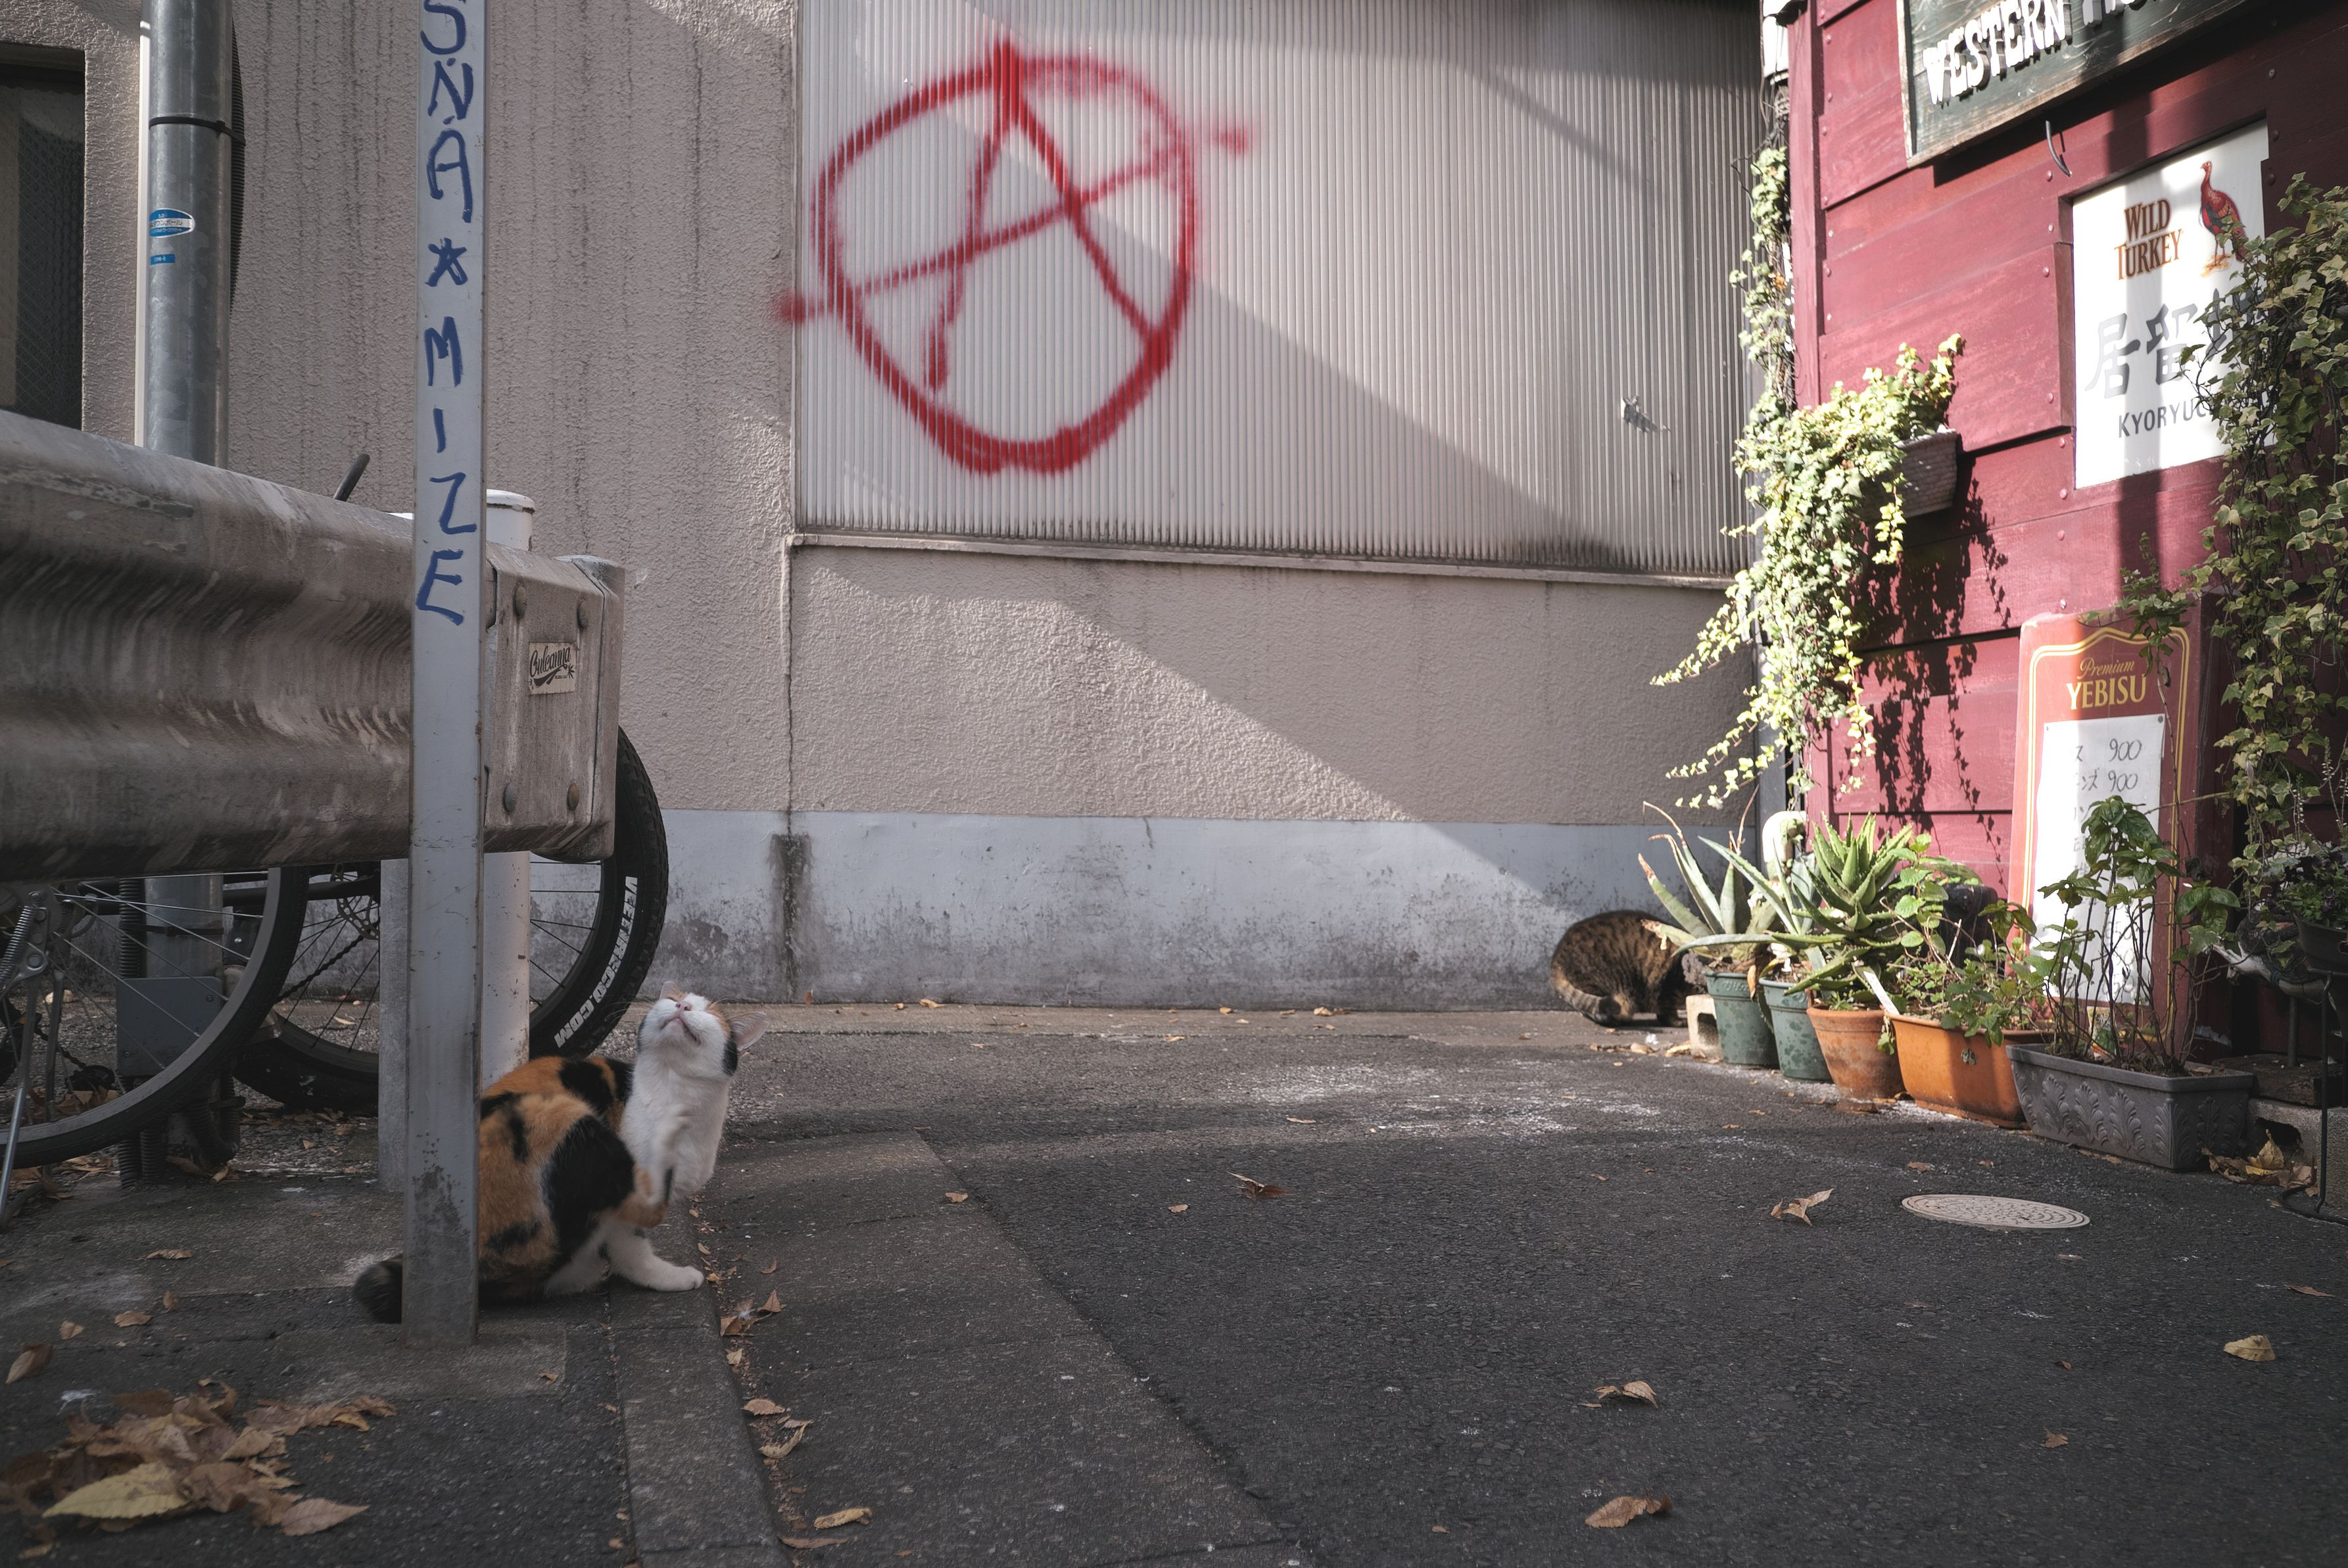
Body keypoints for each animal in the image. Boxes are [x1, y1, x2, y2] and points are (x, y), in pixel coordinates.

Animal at [353, 989, 766, 1322]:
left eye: (709, 1012)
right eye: (673, 998)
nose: (681, 1006)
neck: (676, 1090)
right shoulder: (620, 1195)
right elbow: (632, 1245)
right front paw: (667, 1277)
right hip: (558, 1111)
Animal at [1548, 909, 1691, 1026]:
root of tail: (1556, 958)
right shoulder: (1668, 984)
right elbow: (1668, 1011)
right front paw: (1679, 1022)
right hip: (1602, 982)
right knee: (1597, 1010)